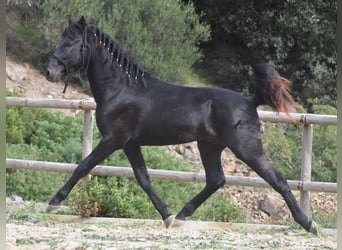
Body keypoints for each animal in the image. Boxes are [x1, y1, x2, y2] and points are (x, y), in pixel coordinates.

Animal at [45, 17, 318, 234]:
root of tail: (250, 101)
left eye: (69, 43)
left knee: (277, 180)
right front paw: (166, 215)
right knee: (216, 180)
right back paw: (181, 216)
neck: (121, 89)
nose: (50, 72)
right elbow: (144, 179)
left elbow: (83, 166)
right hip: (209, 146)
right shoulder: (131, 145)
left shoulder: (113, 140)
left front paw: (54, 203)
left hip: (246, 149)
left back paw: (308, 224)